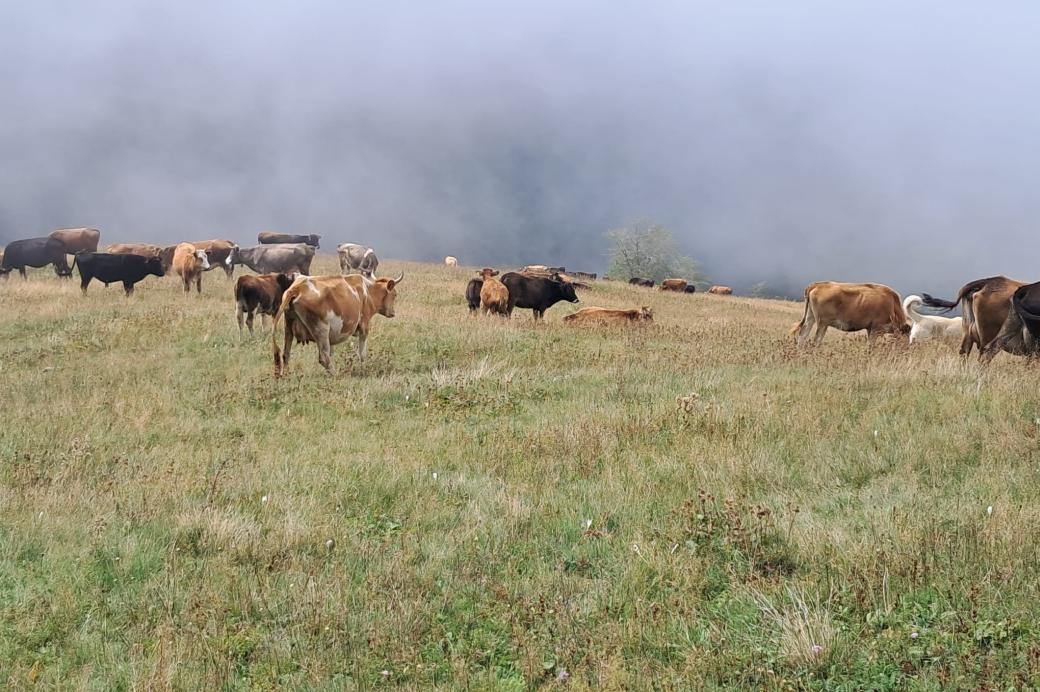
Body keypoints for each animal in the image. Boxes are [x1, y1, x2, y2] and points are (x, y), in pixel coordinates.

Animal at [272, 270, 401, 378]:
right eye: (395, 295)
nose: (393, 312)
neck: (368, 291)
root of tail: (297, 288)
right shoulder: (364, 326)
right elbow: (362, 354)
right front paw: (364, 369)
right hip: (321, 330)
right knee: (324, 358)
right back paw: (336, 375)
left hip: (288, 328)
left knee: (286, 354)